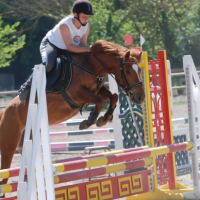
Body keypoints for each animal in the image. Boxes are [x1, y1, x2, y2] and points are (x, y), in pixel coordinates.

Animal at [0, 39, 145, 187]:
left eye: (139, 70)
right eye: (128, 71)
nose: (140, 98)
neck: (92, 66)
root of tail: (4, 112)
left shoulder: (98, 91)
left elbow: (113, 96)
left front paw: (103, 119)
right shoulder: (77, 94)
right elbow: (99, 102)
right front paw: (89, 121)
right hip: (9, 144)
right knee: (5, 173)